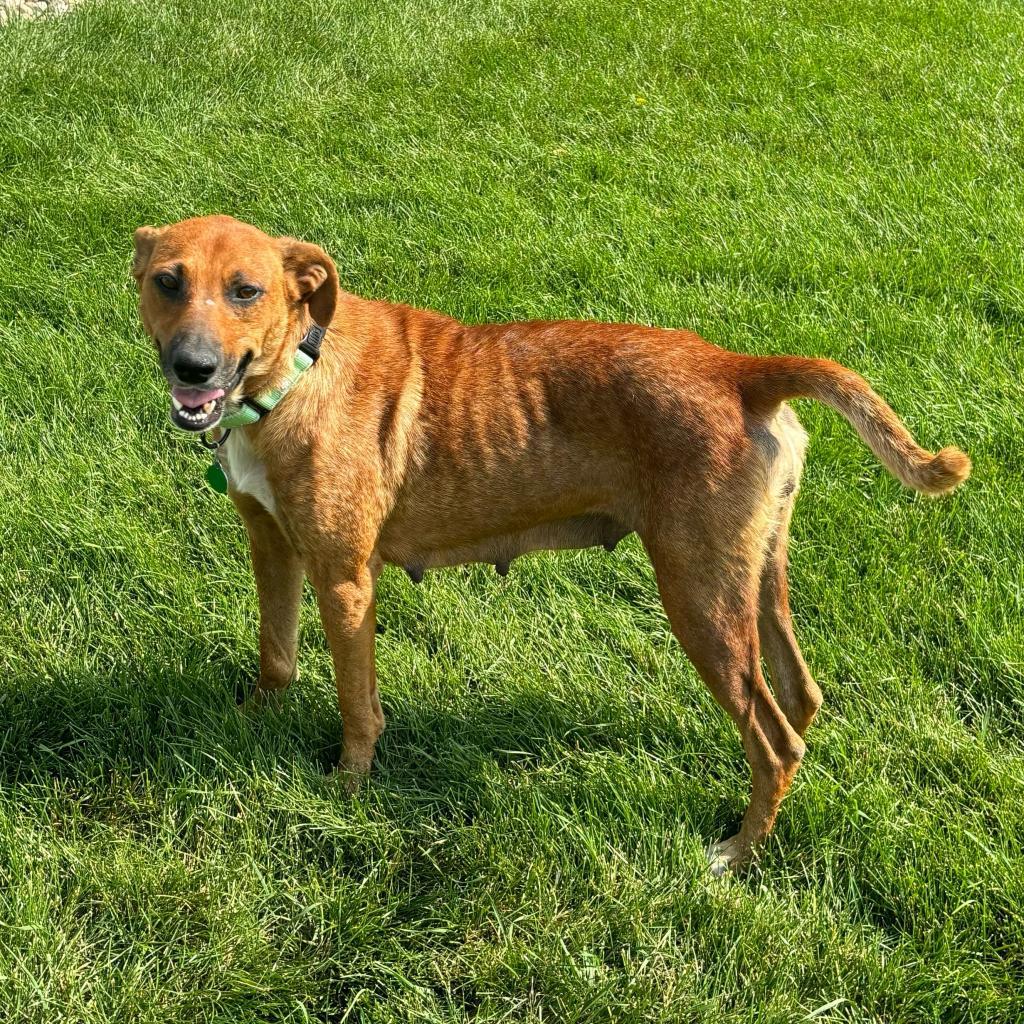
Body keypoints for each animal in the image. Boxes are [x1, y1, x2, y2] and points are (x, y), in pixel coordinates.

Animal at [134, 214, 966, 872]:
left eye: (247, 291)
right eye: (167, 281)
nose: (192, 368)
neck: (294, 374)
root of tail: (742, 372)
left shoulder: (344, 578)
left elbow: (356, 705)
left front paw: (347, 788)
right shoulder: (270, 545)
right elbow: (275, 655)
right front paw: (248, 725)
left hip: (698, 597)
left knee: (775, 740)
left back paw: (737, 851)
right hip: (754, 576)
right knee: (800, 698)